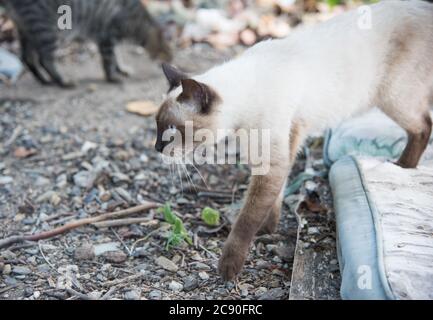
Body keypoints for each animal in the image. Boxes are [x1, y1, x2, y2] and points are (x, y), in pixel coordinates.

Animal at [3, 0, 172, 87]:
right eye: (169, 51)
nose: (171, 61)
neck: (138, 21)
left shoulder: (109, 39)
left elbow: (116, 57)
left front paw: (121, 69)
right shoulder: (106, 36)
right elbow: (109, 60)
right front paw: (112, 77)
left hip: (27, 32)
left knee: (27, 58)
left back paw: (44, 80)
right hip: (48, 31)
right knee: (45, 59)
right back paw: (63, 80)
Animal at [154, 0, 430, 280]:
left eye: (171, 130)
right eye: (157, 126)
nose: (156, 147)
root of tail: (423, 8)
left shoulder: (272, 158)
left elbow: (247, 219)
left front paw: (229, 267)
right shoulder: (288, 139)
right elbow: (278, 191)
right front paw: (269, 227)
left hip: (393, 97)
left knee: (423, 127)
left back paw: (402, 167)